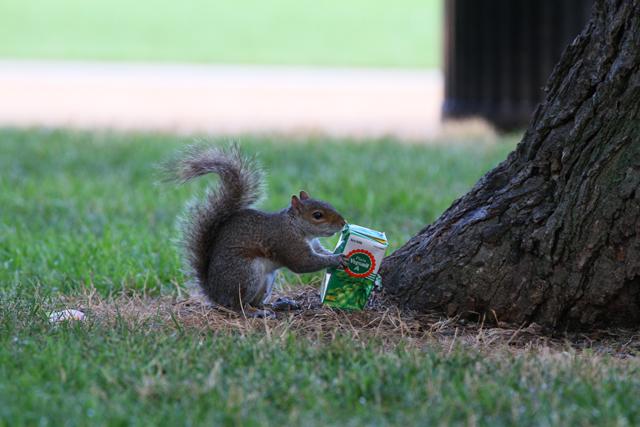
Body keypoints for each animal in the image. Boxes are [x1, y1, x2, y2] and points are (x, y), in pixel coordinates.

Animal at [165, 145, 344, 318]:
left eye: (327, 204)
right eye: (317, 215)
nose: (343, 223)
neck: (297, 228)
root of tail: (216, 295)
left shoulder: (314, 244)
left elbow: (322, 252)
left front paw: (336, 255)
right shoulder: (287, 242)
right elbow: (304, 263)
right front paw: (337, 259)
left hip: (267, 280)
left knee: (256, 302)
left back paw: (279, 305)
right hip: (246, 274)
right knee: (238, 305)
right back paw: (253, 312)